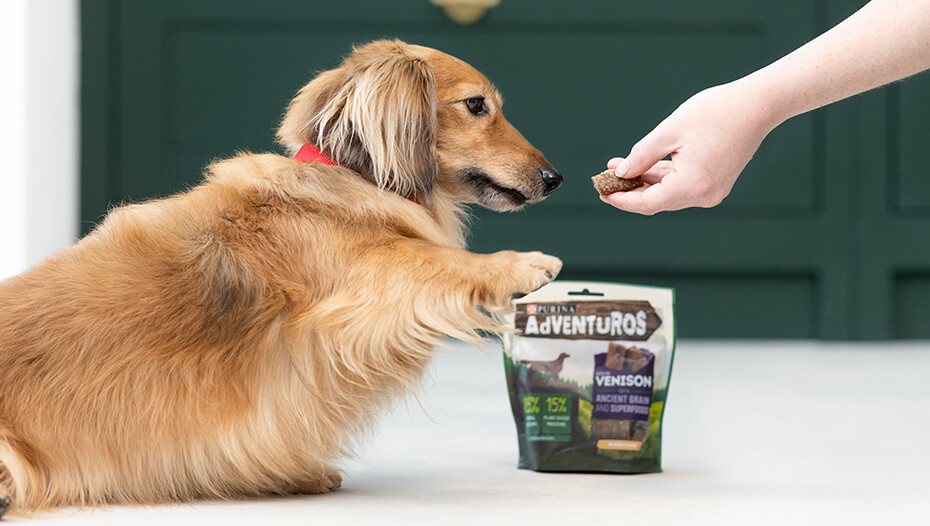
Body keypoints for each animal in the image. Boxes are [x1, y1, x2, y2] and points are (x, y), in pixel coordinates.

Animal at [0, 39, 560, 516]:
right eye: (476, 105)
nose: (555, 180)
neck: (353, 177)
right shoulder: (360, 286)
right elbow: (436, 260)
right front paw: (522, 264)